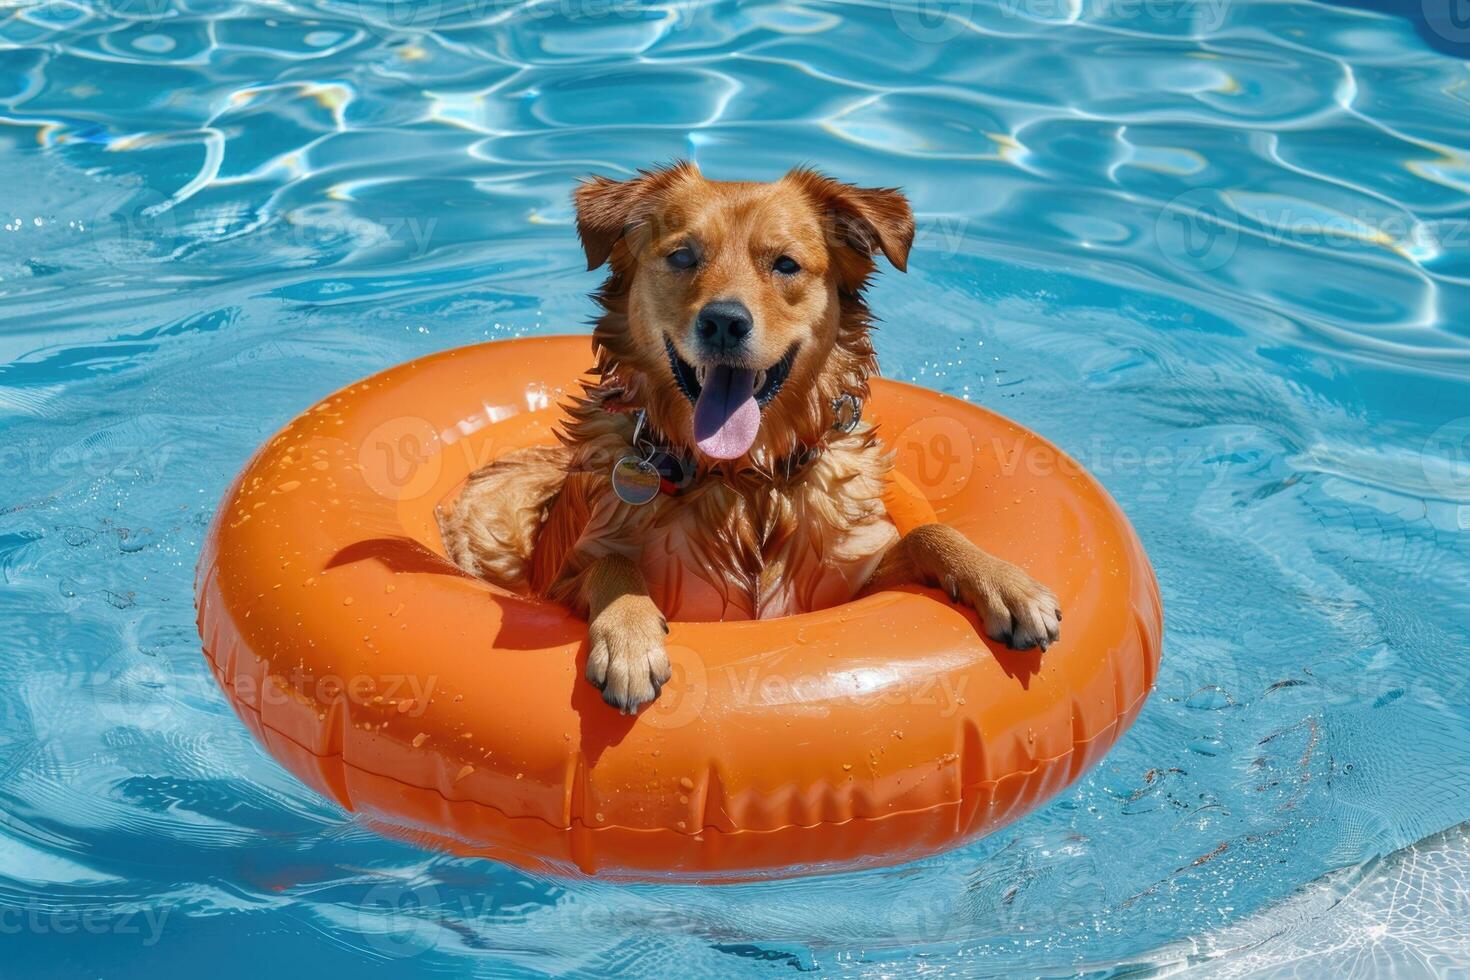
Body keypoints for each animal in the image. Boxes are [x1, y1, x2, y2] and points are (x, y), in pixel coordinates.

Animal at [435, 160, 1058, 714]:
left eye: (784, 264)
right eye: (682, 256)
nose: (723, 322)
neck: (744, 481)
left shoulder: (850, 583)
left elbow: (928, 533)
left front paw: (1005, 582)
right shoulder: (564, 580)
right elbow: (610, 564)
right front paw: (629, 638)